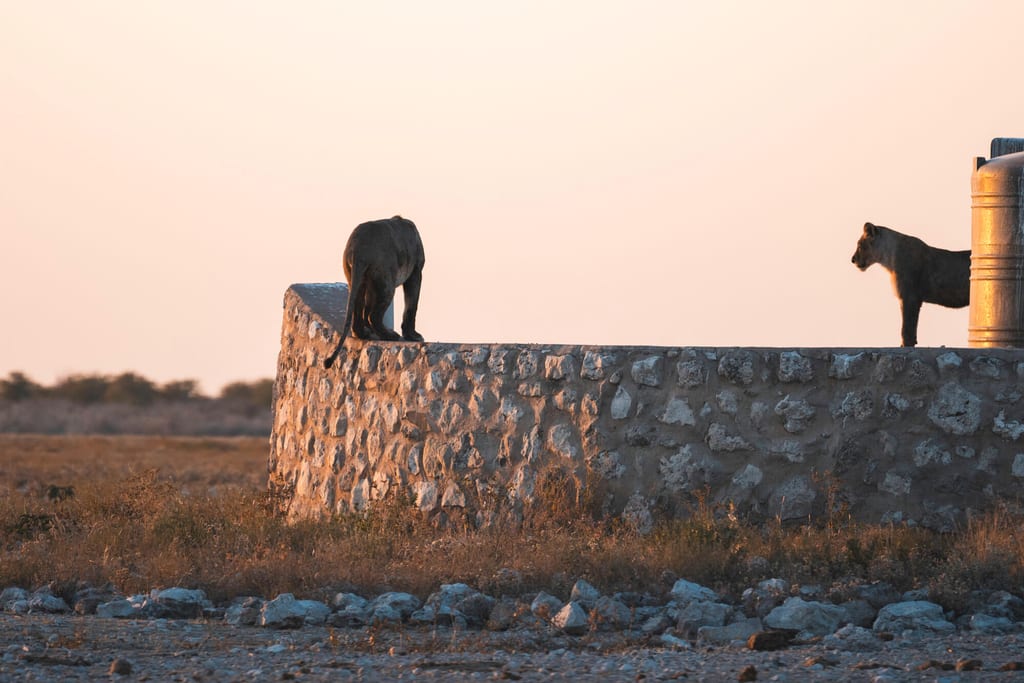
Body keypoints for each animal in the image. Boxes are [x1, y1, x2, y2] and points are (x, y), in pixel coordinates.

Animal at [324, 215, 425, 369]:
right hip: (386, 282)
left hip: (357, 278)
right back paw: (390, 335)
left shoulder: (371, 284)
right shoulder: (416, 271)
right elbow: (411, 306)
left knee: (359, 309)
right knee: (374, 315)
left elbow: (367, 306)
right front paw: (413, 335)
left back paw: (365, 333)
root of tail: (359, 247)